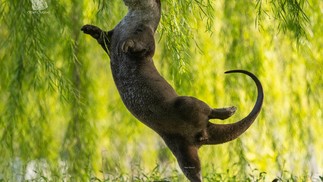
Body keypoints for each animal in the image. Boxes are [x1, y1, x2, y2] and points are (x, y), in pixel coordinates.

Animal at [81, 0, 264, 181]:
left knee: (208, 110)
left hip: (187, 103)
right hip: (181, 149)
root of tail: (204, 133)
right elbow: (103, 37)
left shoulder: (146, 38)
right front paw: (89, 28)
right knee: (193, 169)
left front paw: (125, 45)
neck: (132, 23)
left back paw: (230, 110)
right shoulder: (113, 35)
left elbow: (139, 46)